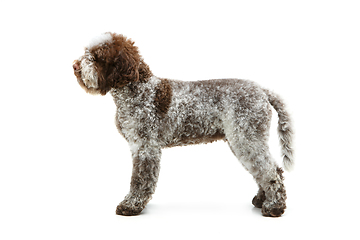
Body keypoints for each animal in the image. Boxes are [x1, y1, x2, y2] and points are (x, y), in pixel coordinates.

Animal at [72, 31, 292, 218]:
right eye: (87, 52)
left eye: (97, 56)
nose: (75, 66)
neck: (138, 91)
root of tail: (262, 91)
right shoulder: (138, 147)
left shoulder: (146, 147)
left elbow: (140, 180)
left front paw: (131, 205)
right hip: (244, 140)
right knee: (267, 170)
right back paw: (262, 200)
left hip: (246, 138)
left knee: (271, 172)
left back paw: (274, 206)